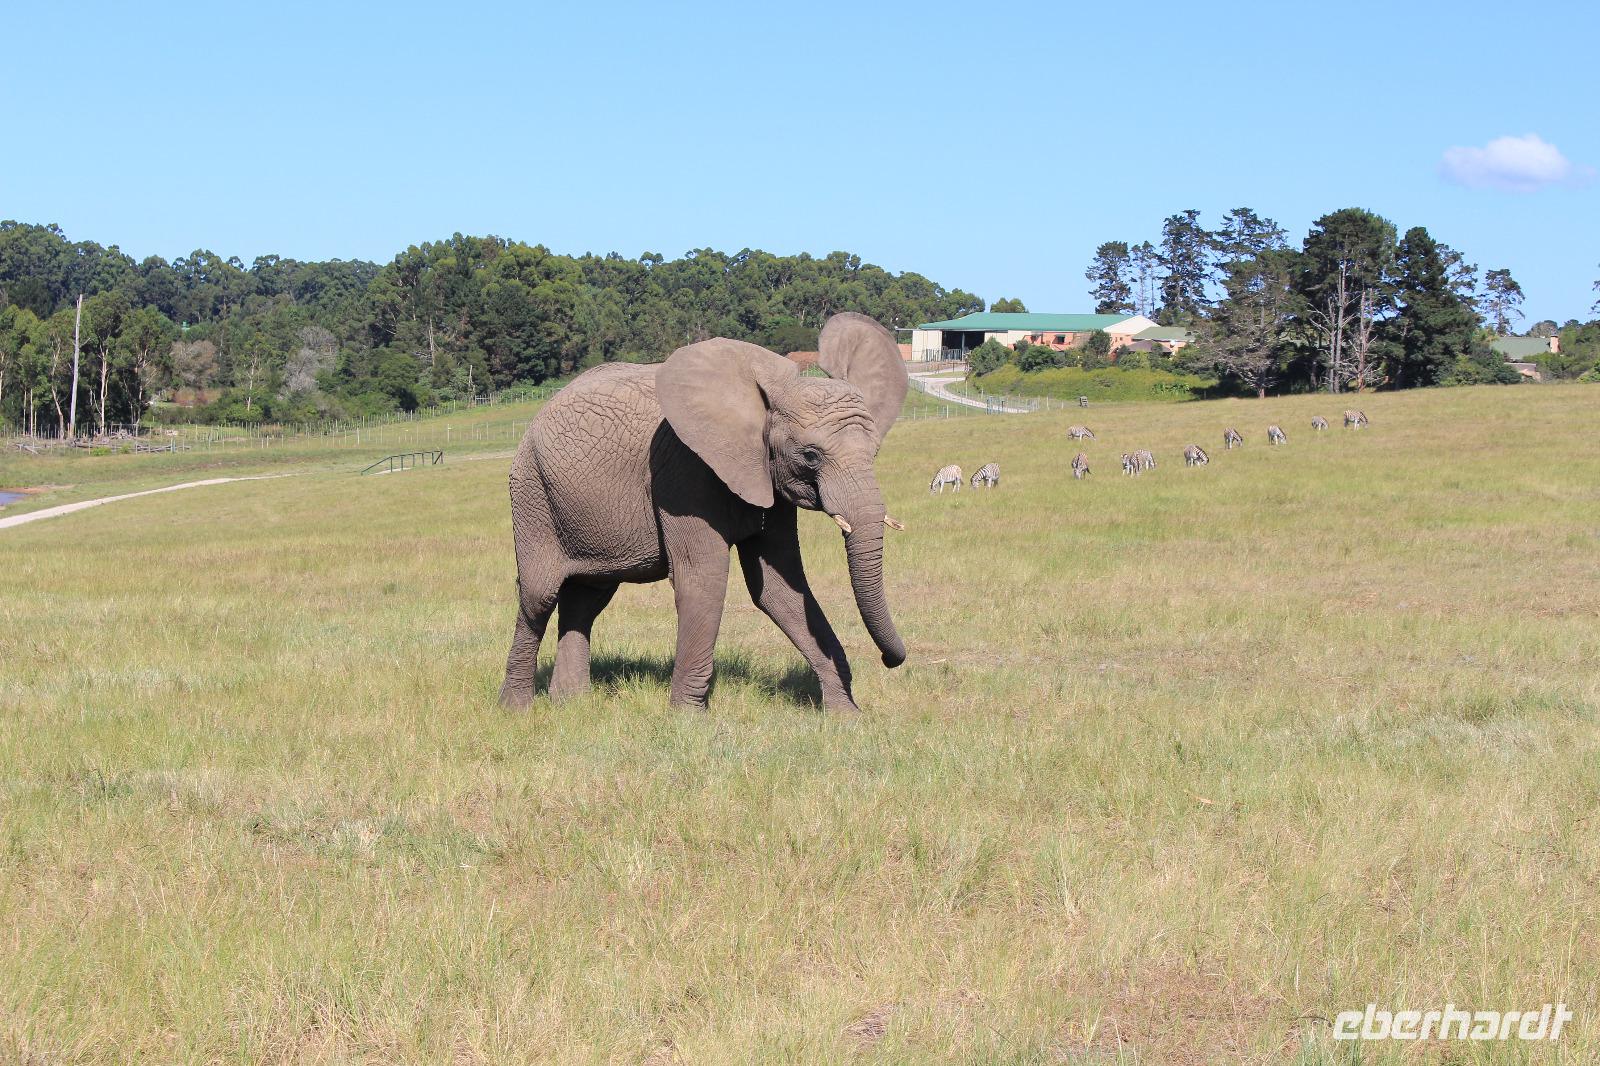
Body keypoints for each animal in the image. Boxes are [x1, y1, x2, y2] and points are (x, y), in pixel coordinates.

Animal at [498, 312, 910, 713]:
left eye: (874, 451)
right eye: (811, 455)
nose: (891, 661)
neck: (773, 391)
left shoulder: (767, 479)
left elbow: (778, 586)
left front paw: (846, 716)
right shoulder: (684, 471)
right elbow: (704, 579)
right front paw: (686, 719)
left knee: (586, 597)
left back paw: (571, 703)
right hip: (532, 492)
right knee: (539, 596)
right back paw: (516, 709)